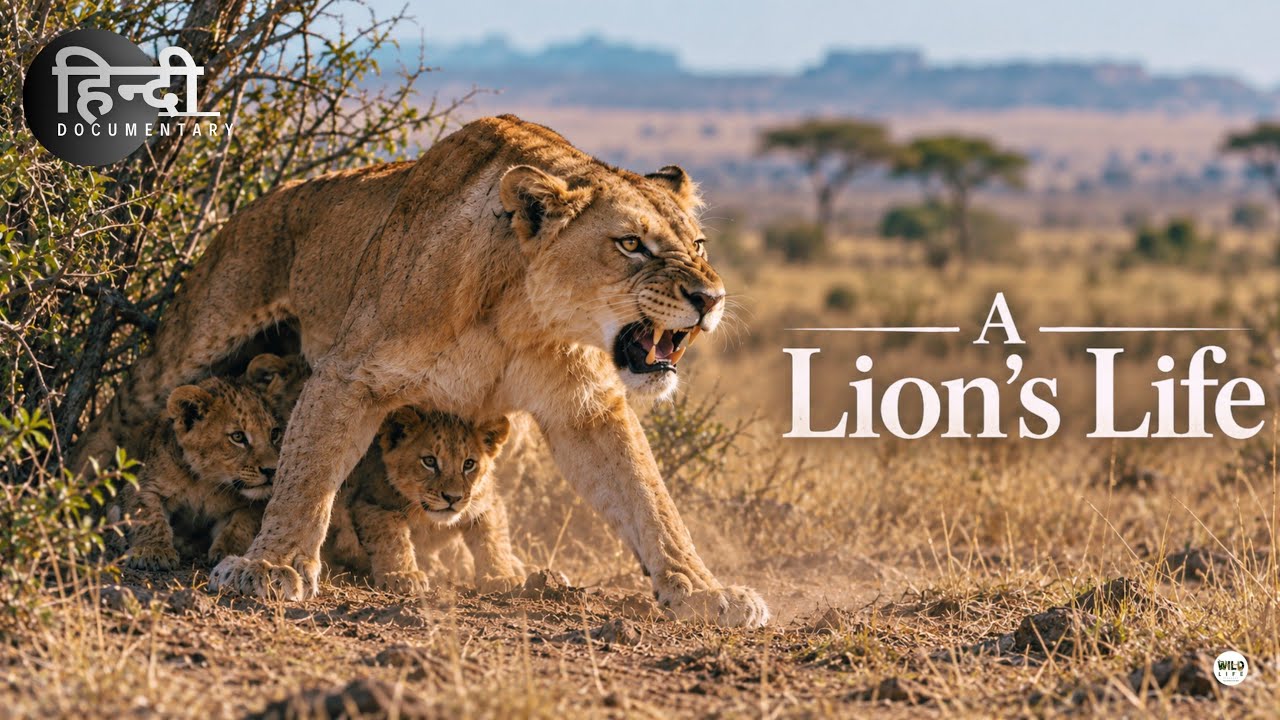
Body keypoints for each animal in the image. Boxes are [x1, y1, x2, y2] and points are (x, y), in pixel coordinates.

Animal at [120, 375, 282, 570]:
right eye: (237, 437)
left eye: (274, 433)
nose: (272, 470)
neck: (206, 483)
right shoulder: (142, 485)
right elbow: (149, 516)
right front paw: (153, 551)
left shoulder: (256, 503)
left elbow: (242, 521)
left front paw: (229, 551)